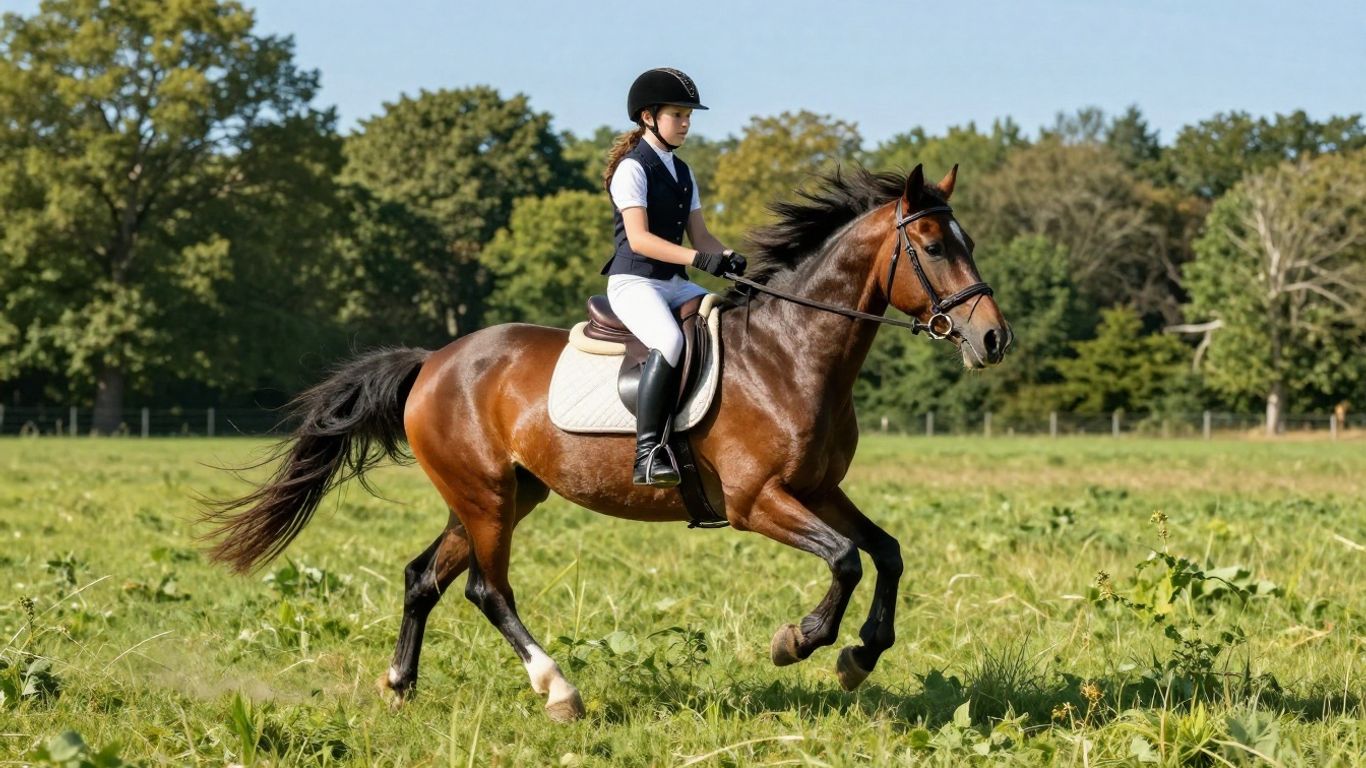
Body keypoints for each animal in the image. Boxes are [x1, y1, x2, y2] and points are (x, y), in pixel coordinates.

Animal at [202, 163, 1011, 722]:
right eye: (933, 246)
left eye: (969, 241)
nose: (994, 339)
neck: (792, 352)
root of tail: (434, 361)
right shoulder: (757, 502)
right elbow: (845, 559)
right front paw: (802, 640)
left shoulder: (817, 489)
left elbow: (887, 553)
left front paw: (859, 656)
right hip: (487, 498)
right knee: (486, 590)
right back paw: (559, 691)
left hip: (500, 494)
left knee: (422, 578)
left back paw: (401, 686)